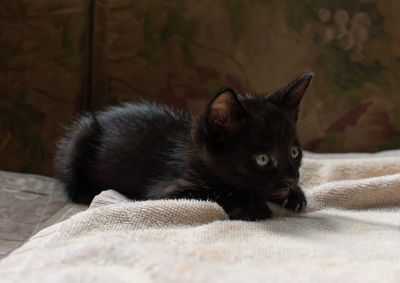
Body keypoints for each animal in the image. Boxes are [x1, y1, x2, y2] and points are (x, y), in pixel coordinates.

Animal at [55, 72, 312, 221]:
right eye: (262, 159)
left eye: (294, 152)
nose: (292, 179)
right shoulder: (164, 191)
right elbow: (212, 192)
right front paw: (249, 205)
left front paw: (294, 196)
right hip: (82, 133)